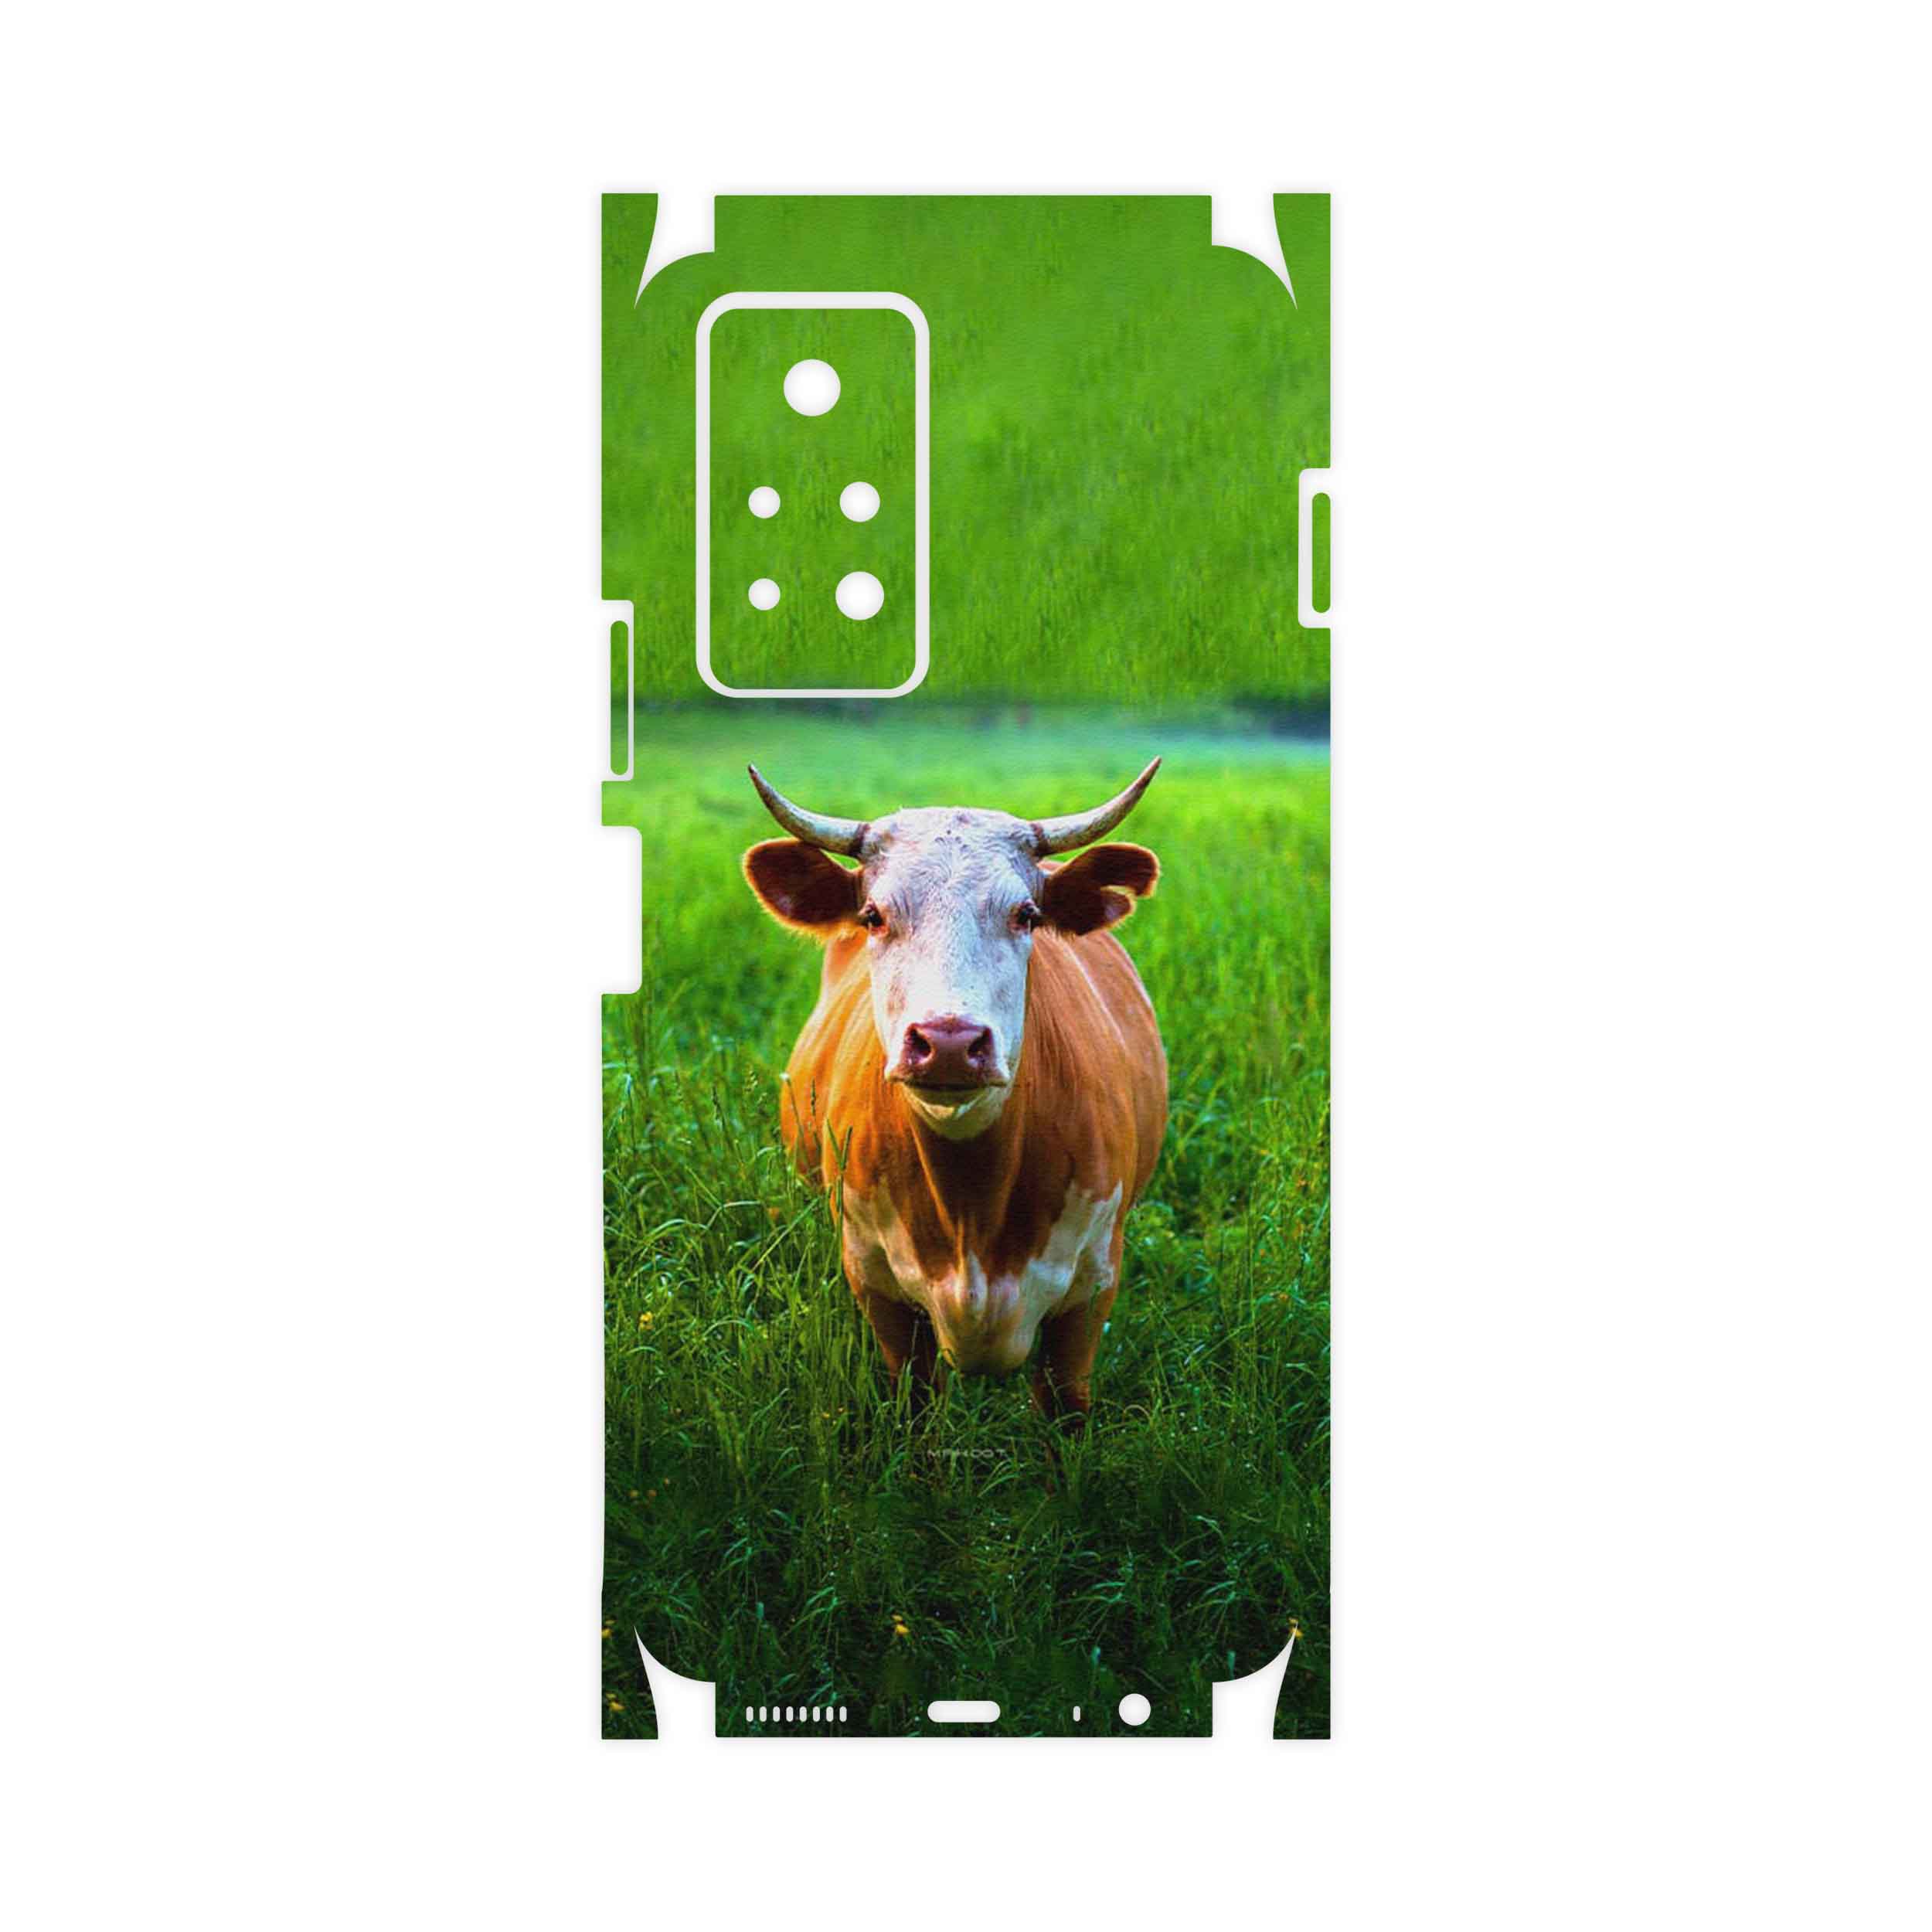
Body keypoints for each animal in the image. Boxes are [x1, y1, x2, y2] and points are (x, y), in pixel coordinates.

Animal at [741, 760, 1168, 1426]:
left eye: (1026, 915)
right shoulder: (878, 1287)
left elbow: (1065, 1411)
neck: (973, 1206)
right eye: (873, 915)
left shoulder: (1092, 1290)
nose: (948, 1041)